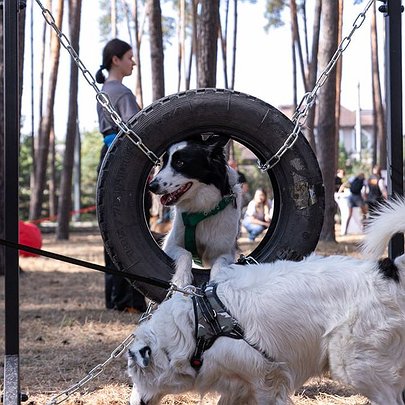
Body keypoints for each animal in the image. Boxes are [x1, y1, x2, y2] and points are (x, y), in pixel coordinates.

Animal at [128, 198, 404, 404]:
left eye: (133, 374)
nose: (134, 402)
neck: (198, 325)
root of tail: (387, 271)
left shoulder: (266, 379)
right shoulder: (237, 385)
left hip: (356, 365)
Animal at [148, 137, 240, 286]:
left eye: (180, 163)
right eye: (163, 163)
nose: (151, 186)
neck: (202, 209)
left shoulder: (224, 252)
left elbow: (219, 263)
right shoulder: (170, 244)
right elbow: (186, 254)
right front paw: (181, 278)